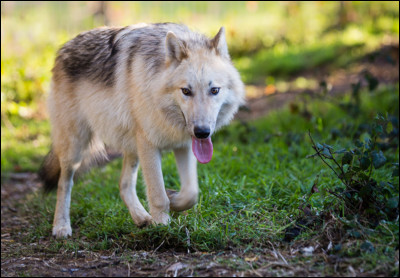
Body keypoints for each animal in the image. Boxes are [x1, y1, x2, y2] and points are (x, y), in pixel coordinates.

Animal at [38, 22, 244, 238]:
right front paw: (162, 227)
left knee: (124, 185)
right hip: (76, 148)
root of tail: (63, 48)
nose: (202, 132)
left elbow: (191, 193)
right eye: (186, 91)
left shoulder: (184, 145)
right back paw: (61, 226)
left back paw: (141, 218)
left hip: (132, 147)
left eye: (214, 90)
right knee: (64, 183)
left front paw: (174, 200)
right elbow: (158, 194)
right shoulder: (149, 144)